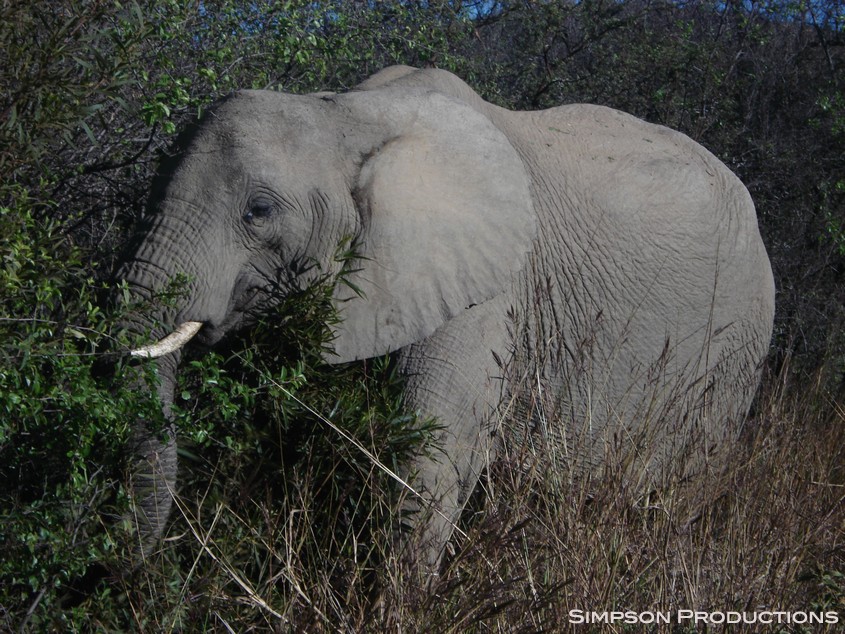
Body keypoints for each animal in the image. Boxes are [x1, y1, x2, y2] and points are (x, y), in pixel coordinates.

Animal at [117, 64, 772, 576]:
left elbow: (432, 460)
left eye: (258, 212)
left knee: (676, 499)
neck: (348, 117)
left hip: (734, 355)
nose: (124, 577)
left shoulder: (487, 292)